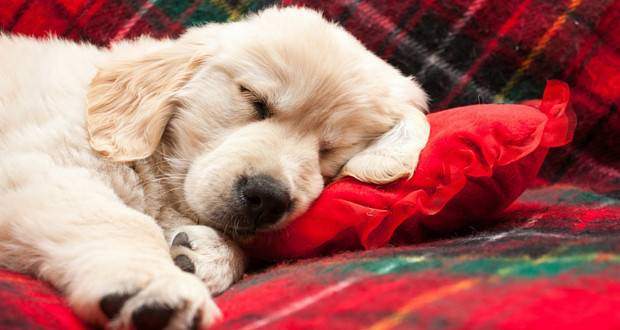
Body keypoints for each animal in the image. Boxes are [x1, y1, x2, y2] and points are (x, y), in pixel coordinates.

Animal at [0, 5, 426, 330]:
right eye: (255, 100)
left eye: (330, 149)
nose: (267, 198)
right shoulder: (41, 165)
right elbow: (118, 220)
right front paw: (154, 285)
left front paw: (205, 253)